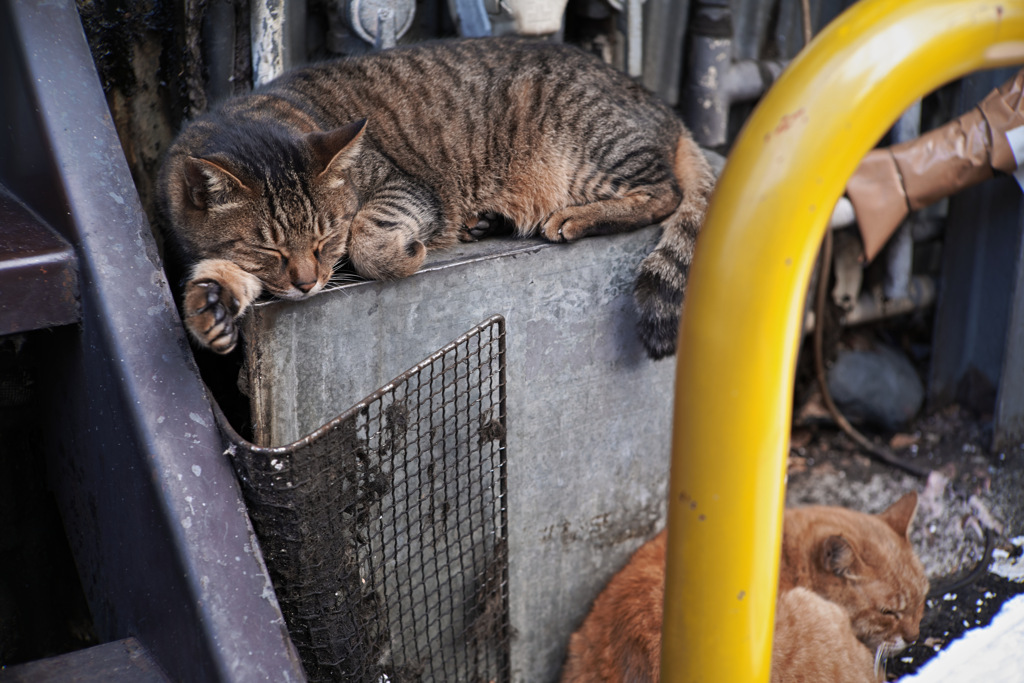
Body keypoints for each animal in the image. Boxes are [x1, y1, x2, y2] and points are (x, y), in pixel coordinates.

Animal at [157, 36, 712, 358]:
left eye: (326, 237)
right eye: (269, 249)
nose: (308, 284)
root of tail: (658, 103)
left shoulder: (403, 186)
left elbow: (369, 234)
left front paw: (401, 253)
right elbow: (223, 271)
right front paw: (211, 304)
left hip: (588, 148)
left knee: (664, 192)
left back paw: (573, 218)